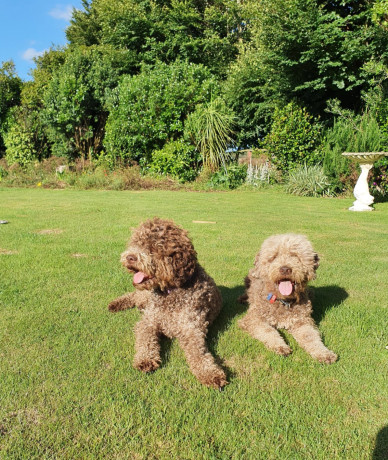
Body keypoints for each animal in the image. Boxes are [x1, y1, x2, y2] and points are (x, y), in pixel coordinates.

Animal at [107, 217, 227, 388]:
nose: (130, 257)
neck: (170, 292)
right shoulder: (148, 322)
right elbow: (145, 339)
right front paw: (145, 358)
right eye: (136, 243)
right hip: (144, 296)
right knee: (135, 295)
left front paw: (210, 373)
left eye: (153, 247)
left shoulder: (192, 329)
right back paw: (116, 304)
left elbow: (199, 352)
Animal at [238, 235, 334, 364]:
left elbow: (311, 337)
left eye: (296, 256)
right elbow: (268, 331)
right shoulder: (254, 318)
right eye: (274, 257)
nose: (285, 269)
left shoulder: (302, 320)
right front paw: (280, 346)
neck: (283, 301)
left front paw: (324, 353)